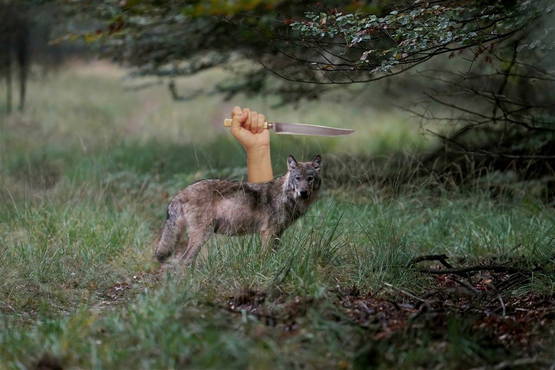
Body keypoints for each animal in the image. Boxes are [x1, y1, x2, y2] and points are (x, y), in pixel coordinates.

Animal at [155, 155, 322, 264]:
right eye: (297, 178)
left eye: (310, 179)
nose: (303, 192)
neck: (285, 196)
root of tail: (180, 193)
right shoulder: (268, 232)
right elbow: (265, 257)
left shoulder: (278, 233)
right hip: (202, 236)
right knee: (184, 261)